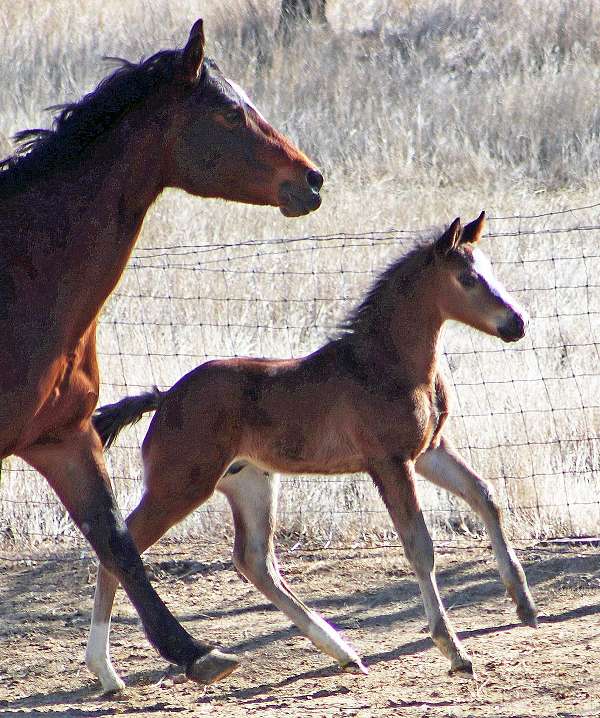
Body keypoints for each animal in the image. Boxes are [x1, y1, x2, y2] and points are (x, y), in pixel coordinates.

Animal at [0, 19, 324, 688]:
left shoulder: (61, 437)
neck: (22, 276)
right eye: (229, 112)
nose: (312, 179)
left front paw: (191, 651)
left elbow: (115, 538)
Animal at [88, 214, 540, 692]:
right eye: (468, 279)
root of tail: (166, 398)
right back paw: (106, 671)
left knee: (255, 560)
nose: (517, 323)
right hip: (180, 486)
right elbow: (420, 546)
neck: (383, 366)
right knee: (120, 543)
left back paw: (343, 652)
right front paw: (454, 650)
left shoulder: (430, 451)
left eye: (489, 269)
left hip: (250, 483)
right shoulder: (390, 462)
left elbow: (485, 496)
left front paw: (524, 604)